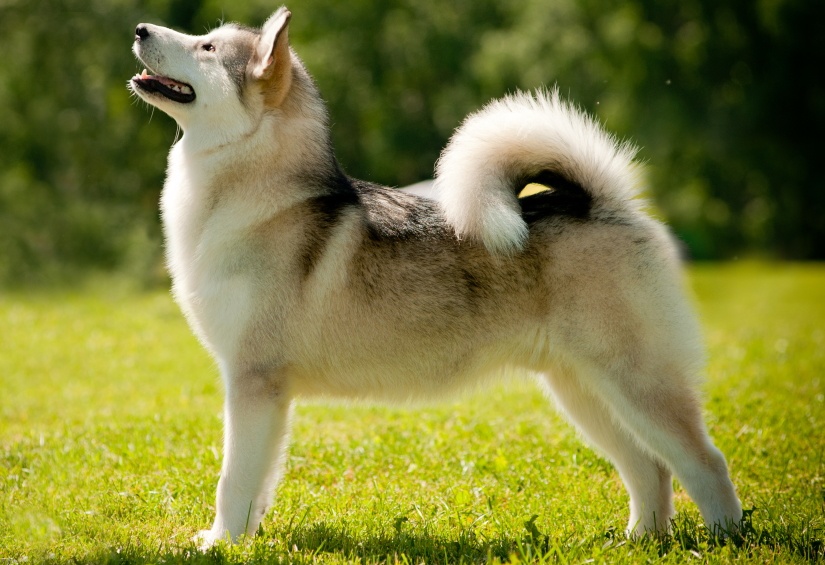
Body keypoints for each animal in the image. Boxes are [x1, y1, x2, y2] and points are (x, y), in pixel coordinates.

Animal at [129, 6, 740, 548]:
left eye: (207, 47)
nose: (139, 28)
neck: (252, 198)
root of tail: (605, 204)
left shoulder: (254, 382)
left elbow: (233, 479)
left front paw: (220, 543)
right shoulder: (264, 393)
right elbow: (256, 484)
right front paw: (242, 538)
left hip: (635, 381)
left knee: (704, 460)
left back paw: (727, 537)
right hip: (583, 391)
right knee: (650, 467)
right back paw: (642, 540)